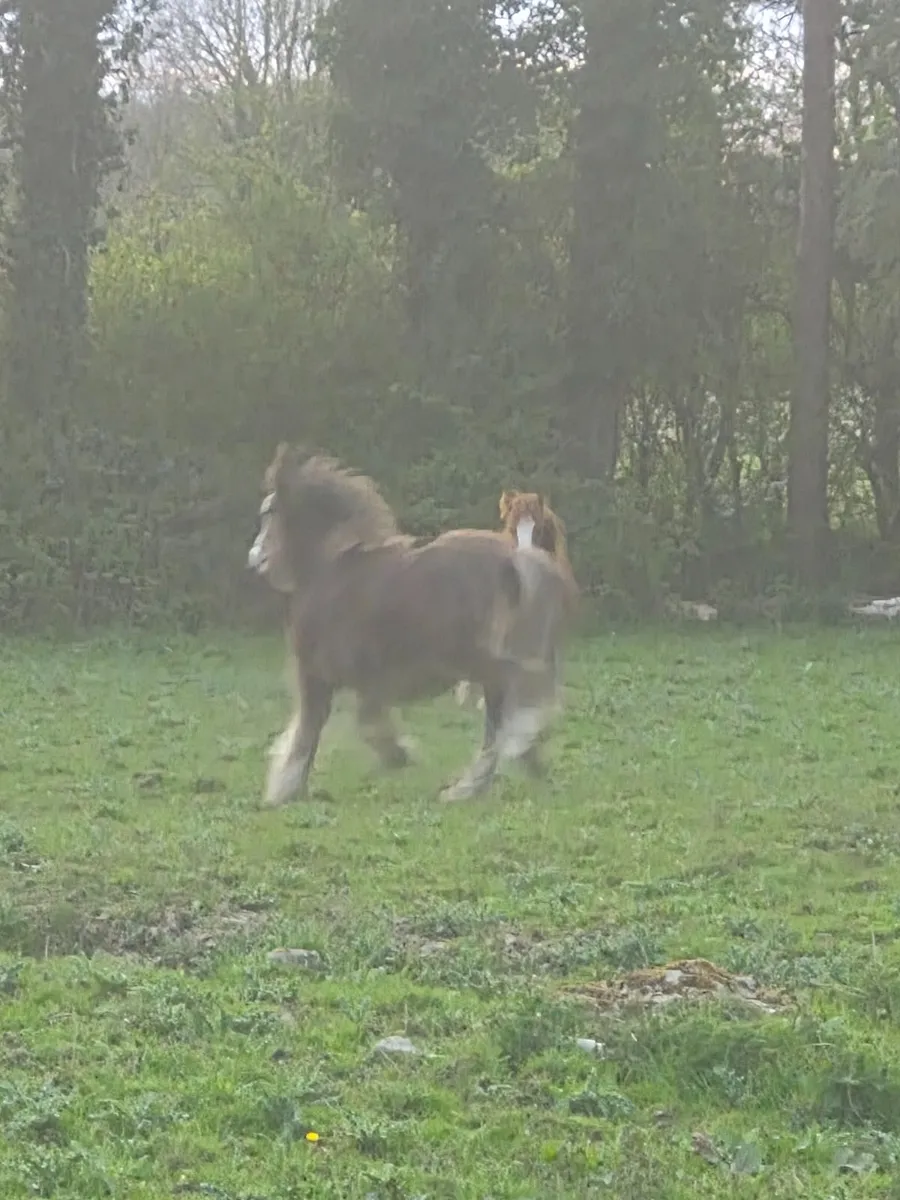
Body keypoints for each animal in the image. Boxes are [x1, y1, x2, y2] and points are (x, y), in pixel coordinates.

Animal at [246, 444, 577, 805]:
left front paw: (285, 789)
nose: (254, 559)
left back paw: (475, 780)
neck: (330, 568)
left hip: (478, 660)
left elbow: (313, 730)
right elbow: (342, 723)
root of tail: (517, 559)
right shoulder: (359, 677)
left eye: (270, 512)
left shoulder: (318, 673)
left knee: (505, 710)